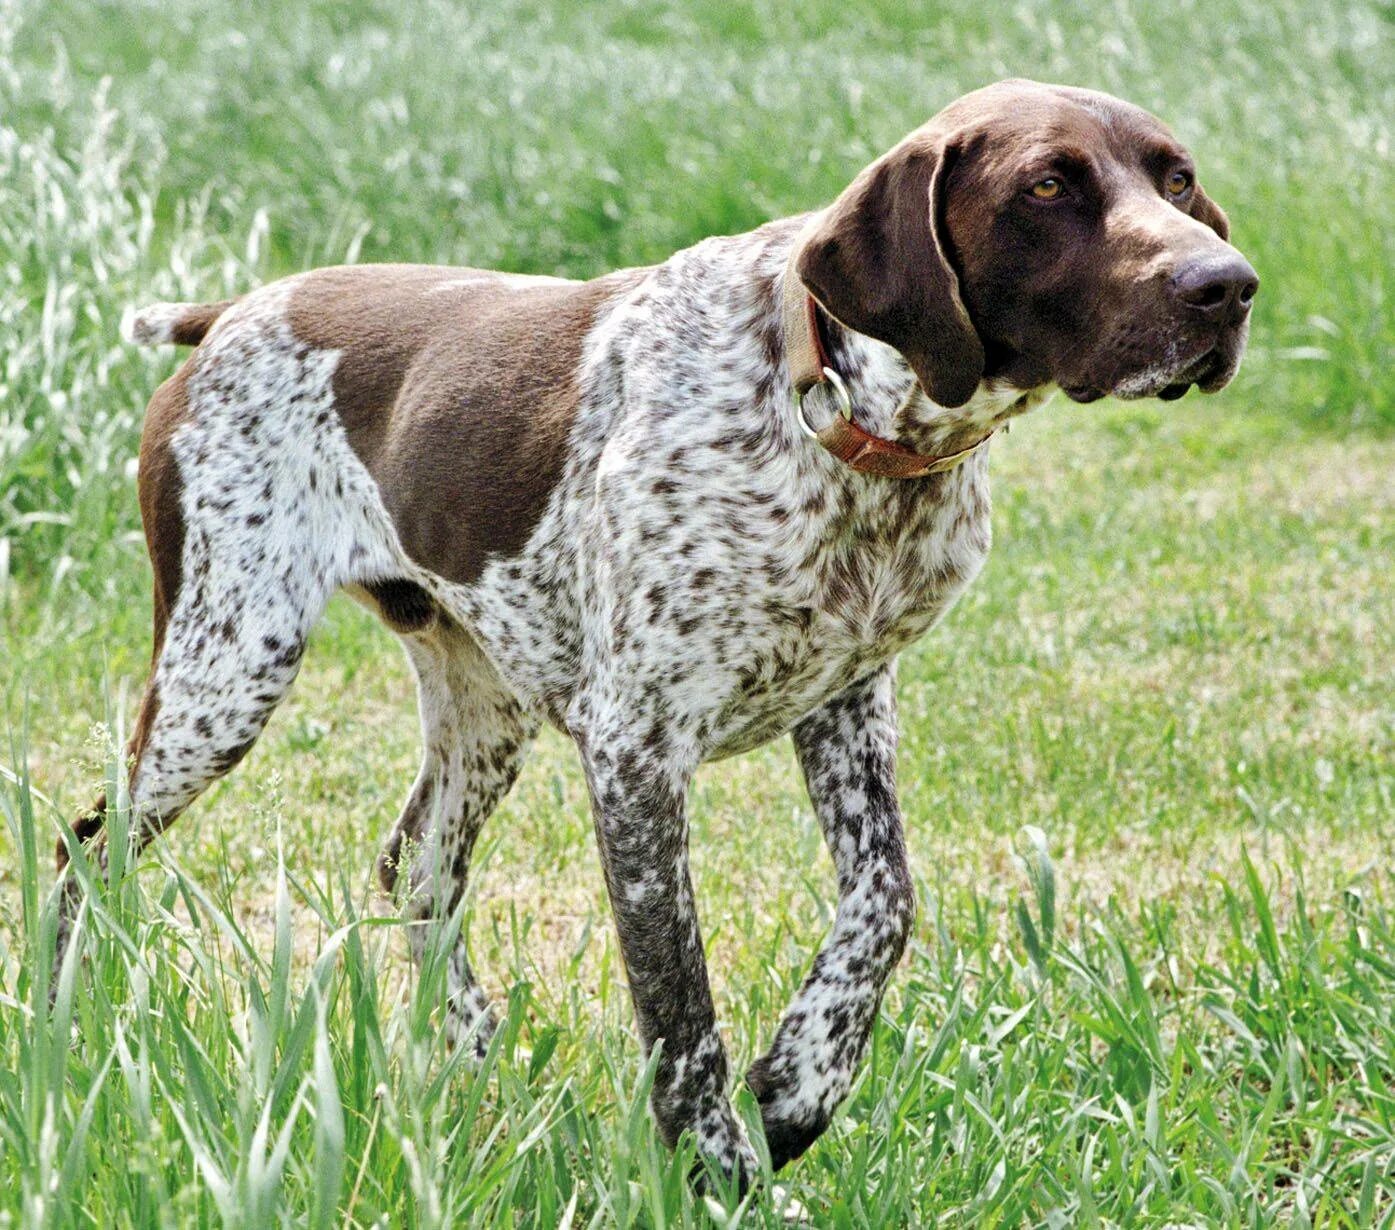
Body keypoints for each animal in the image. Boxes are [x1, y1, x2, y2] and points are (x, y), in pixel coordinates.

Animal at [57, 79, 1255, 1177]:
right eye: (1047, 187)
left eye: (1175, 179)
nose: (1227, 287)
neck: (834, 416)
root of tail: (234, 311)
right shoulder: (635, 751)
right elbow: (679, 1003)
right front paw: (715, 1167)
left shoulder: (845, 703)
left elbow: (884, 905)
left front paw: (800, 1087)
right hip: (227, 667)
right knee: (89, 849)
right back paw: (73, 1032)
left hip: (481, 703)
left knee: (418, 867)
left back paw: (473, 1058)